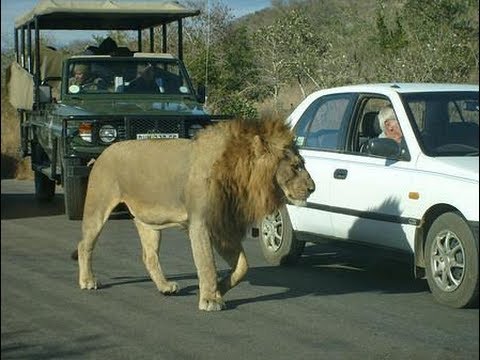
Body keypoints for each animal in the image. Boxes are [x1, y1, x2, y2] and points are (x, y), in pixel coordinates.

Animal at [75, 117, 316, 310]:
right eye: (296, 166)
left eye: (302, 164)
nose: (313, 188)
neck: (240, 178)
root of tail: (105, 151)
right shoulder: (200, 223)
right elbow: (206, 263)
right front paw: (210, 299)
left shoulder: (222, 226)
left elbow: (242, 266)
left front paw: (219, 289)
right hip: (98, 207)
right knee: (84, 245)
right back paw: (87, 281)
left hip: (149, 221)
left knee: (149, 256)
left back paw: (165, 287)